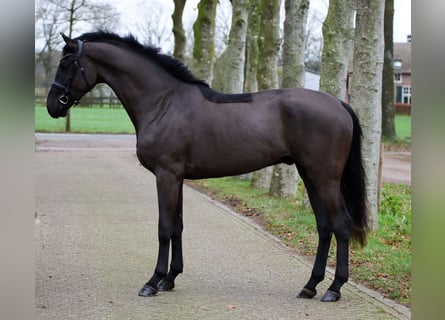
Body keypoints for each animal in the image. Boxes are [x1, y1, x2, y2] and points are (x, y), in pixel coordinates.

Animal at [47, 32, 368, 302]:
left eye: (66, 63)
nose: (52, 106)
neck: (163, 102)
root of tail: (340, 104)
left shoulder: (166, 175)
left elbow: (164, 228)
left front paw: (152, 282)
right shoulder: (177, 178)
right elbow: (177, 226)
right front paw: (170, 279)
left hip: (325, 178)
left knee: (340, 225)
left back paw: (334, 289)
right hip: (309, 175)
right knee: (324, 226)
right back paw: (310, 286)